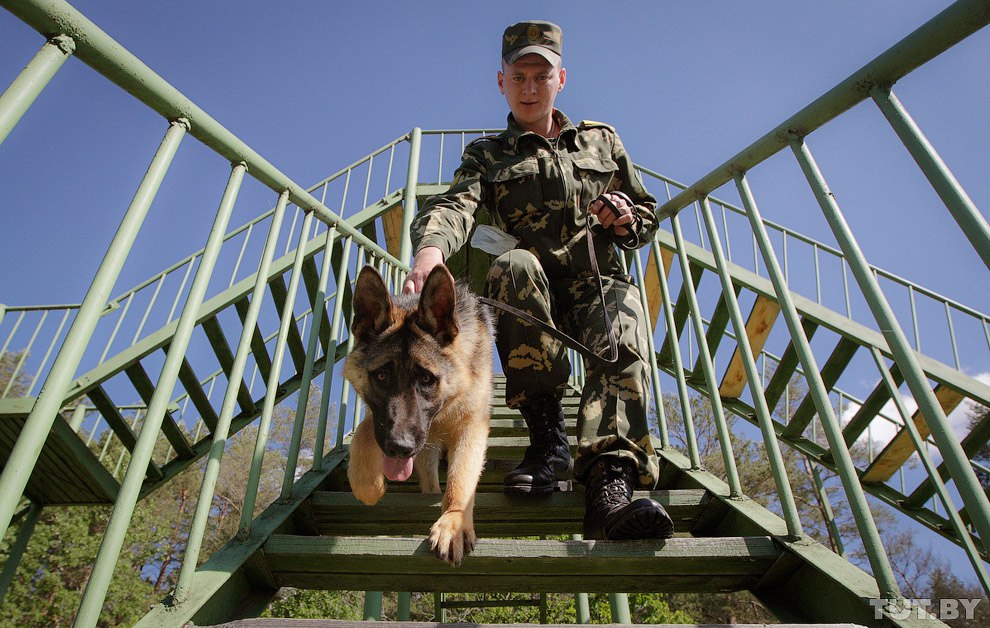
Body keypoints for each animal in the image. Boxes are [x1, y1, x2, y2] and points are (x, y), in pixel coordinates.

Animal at [344, 262, 496, 568]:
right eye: (381, 376)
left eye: (426, 378)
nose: (399, 448)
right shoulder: (380, 420)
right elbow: (363, 435)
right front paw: (369, 486)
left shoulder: (472, 426)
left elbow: (461, 479)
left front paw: (453, 524)